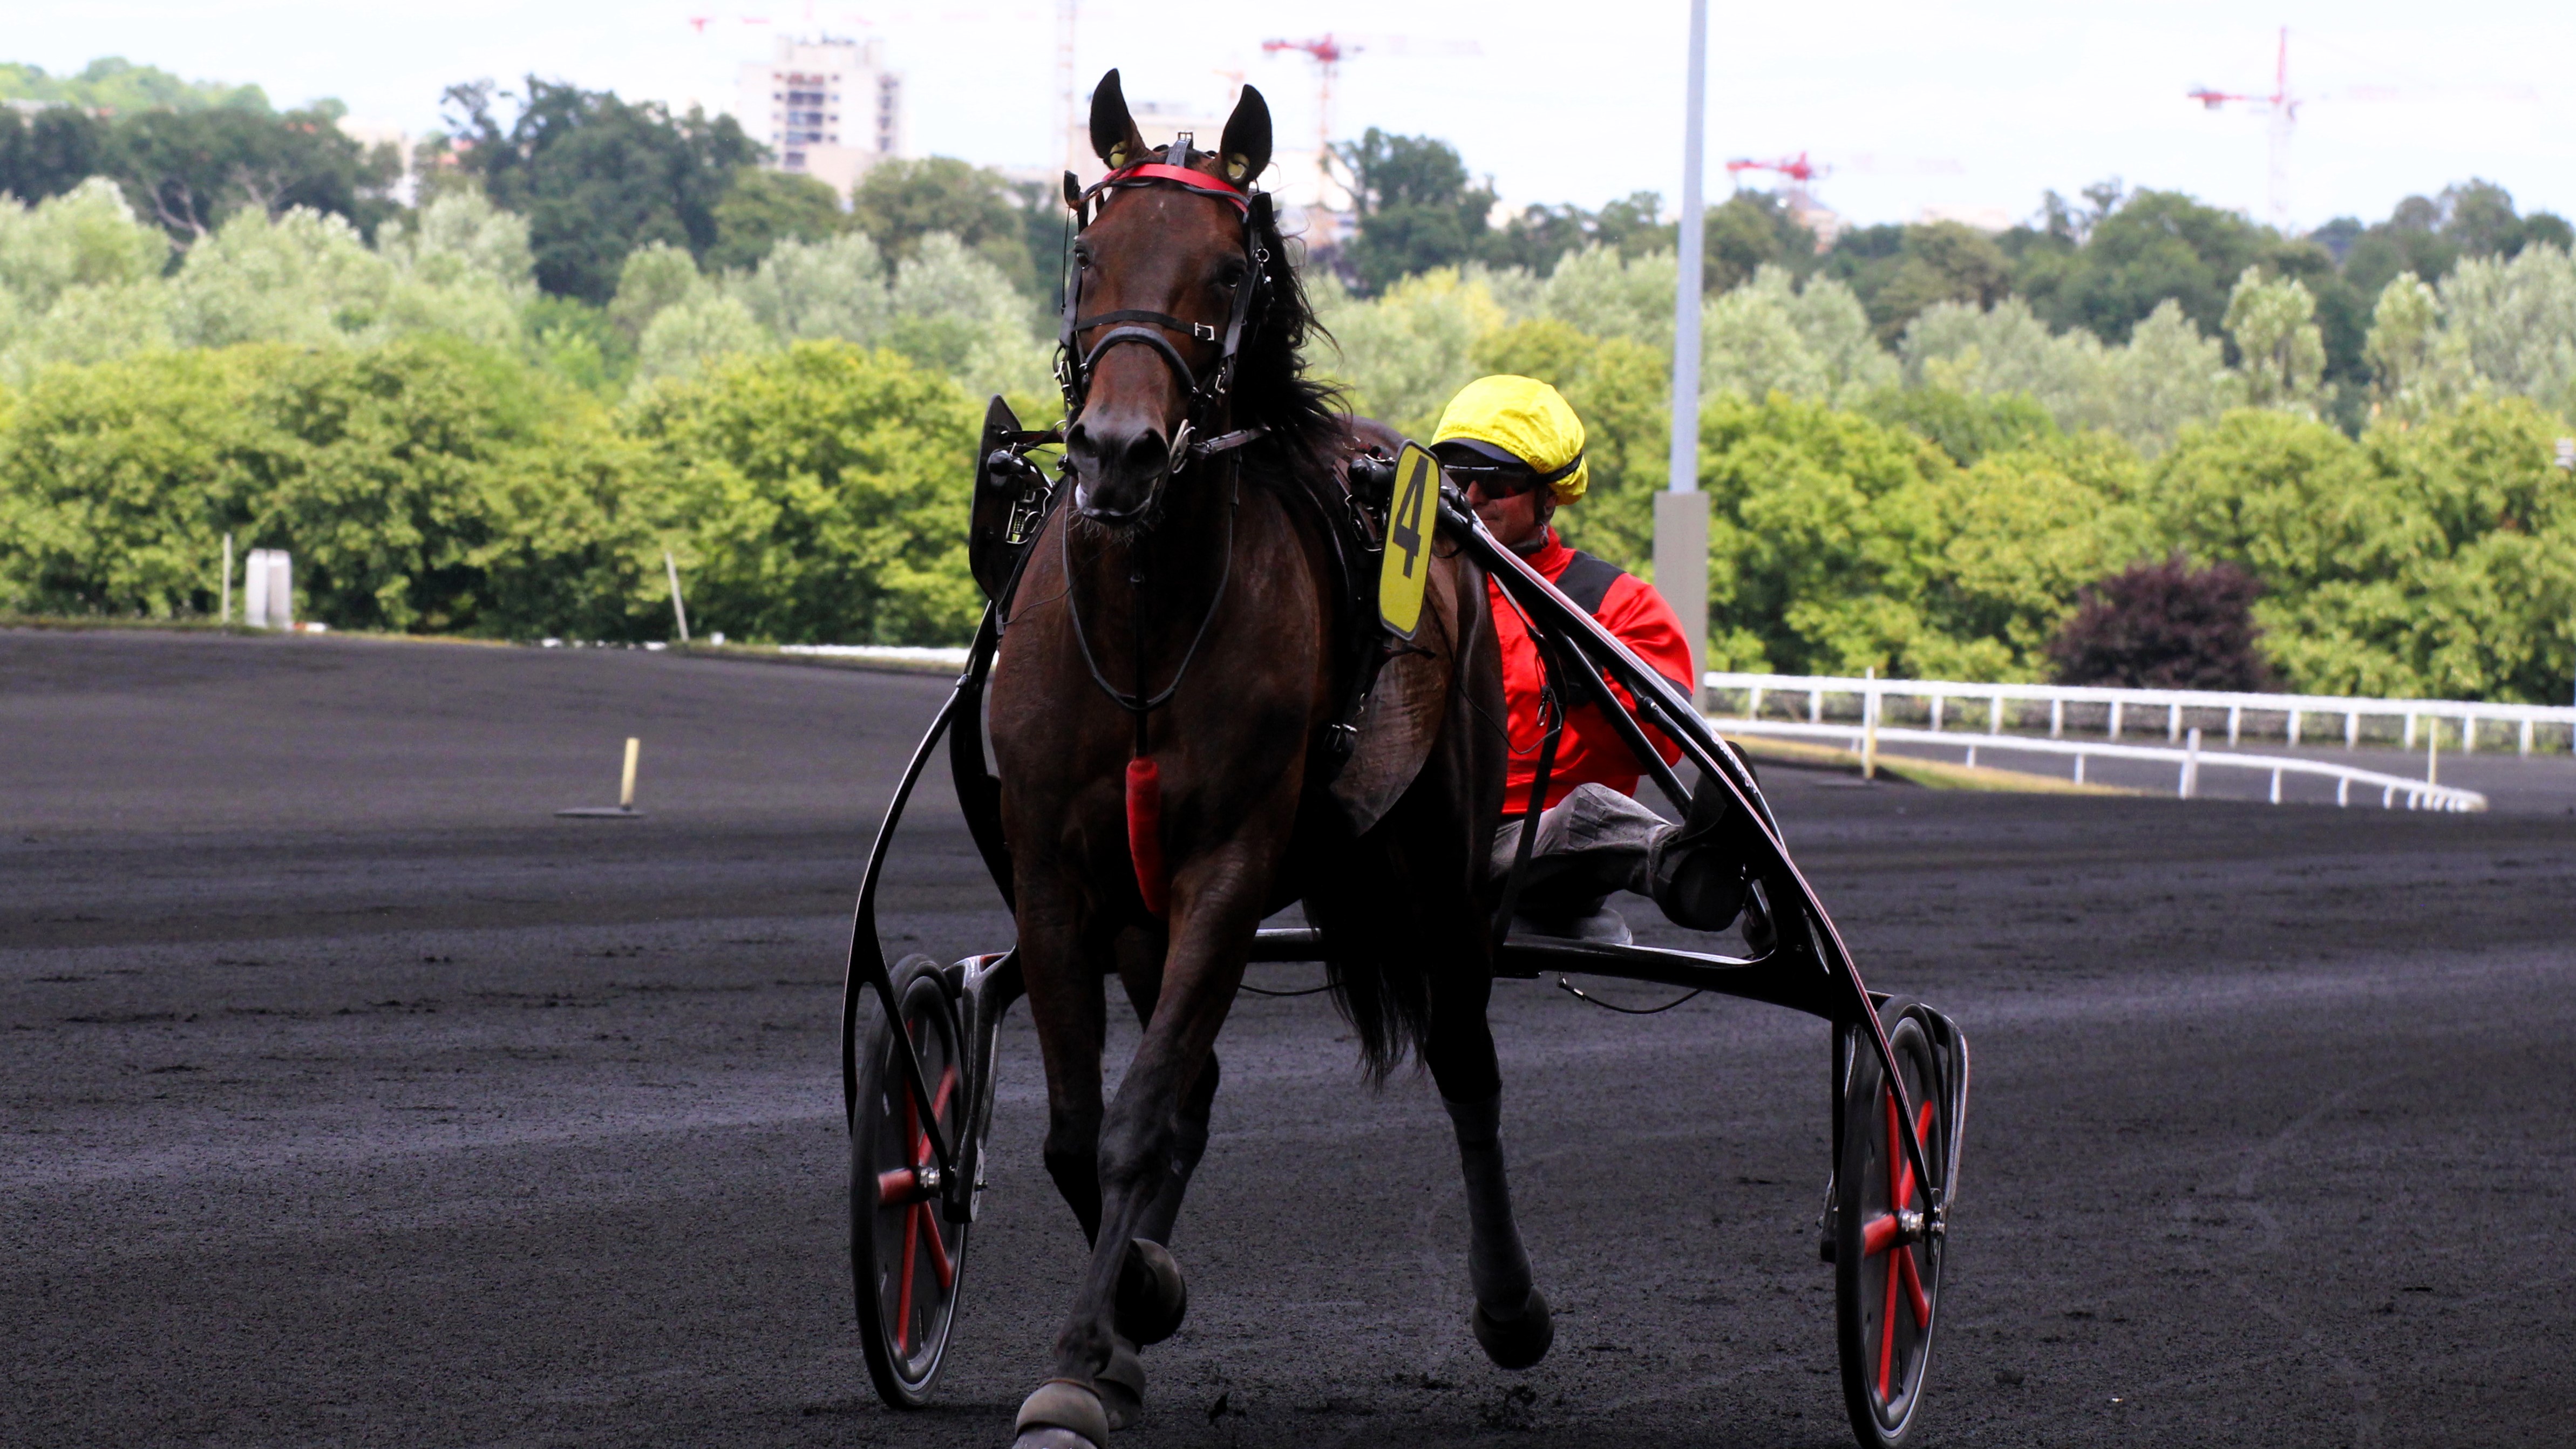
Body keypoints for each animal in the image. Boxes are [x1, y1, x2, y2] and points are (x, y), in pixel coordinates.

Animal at [984, 71, 1555, 1449]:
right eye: (1088, 252)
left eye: (1225, 268)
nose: (1118, 449)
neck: (1145, 633)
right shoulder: (1054, 873)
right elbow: (1083, 1126)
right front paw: (1128, 1310)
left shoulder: (1227, 869)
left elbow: (1136, 1119)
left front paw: (1086, 1352)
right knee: (1191, 1079)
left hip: (1439, 858)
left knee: (1465, 1060)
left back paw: (1509, 1304)